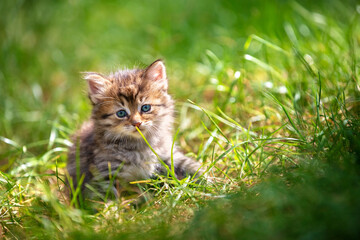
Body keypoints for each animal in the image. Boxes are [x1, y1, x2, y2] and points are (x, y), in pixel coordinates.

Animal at [67, 59, 202, 198]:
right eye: (121, 113)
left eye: (145, 108)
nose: (136, 123)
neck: (139, 146)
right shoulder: (104, 174)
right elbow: (107, 197)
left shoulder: (167, 154)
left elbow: (189, 164)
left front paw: (207, 181)